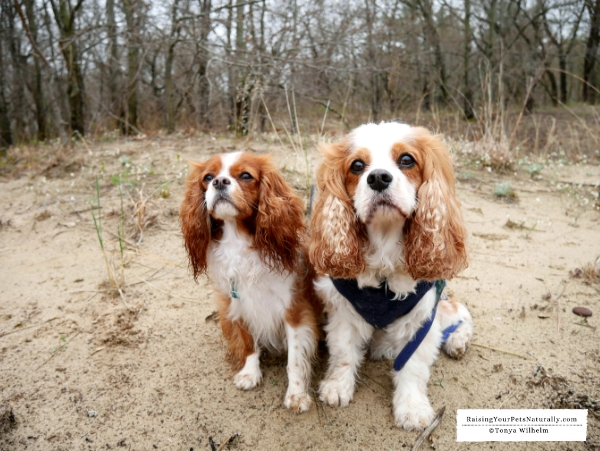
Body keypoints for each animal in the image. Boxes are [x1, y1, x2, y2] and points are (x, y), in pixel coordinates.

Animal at [180, 152, 324, 414]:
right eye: (208, 177)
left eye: (246, 175)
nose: (219, 182)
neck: (237, 242)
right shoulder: (237, 303)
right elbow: (248, 342)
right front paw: (249, 373)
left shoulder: (294, 311)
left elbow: (295, 359)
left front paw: (297, 394)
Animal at [310, 122, 474, 430]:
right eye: (357, 165)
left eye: (407, 160)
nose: (378, 178)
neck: (384, 246)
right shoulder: (344, 312)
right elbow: (343, 354)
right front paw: (337, 387)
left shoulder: (421, 319)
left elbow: (412, 367)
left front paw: (411, 408)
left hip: (443, 305)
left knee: (461, 313)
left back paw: (456, 342)